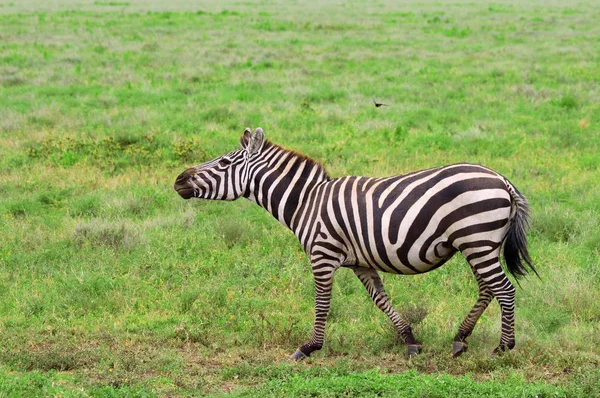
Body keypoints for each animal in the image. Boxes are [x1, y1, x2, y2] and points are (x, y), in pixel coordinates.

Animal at [175, 129, 540, 360]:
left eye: (223, 163)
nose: (178, 180)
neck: (306, 202)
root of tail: (501, 179)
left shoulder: (322, 256)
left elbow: (322, 304)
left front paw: (310, 347)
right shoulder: (361, 263)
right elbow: (381, 300)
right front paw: (410, 341)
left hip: (477, 240)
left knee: (504, 289)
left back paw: (503, 348)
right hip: (479, 244)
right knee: (488, 289)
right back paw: (461, 339)